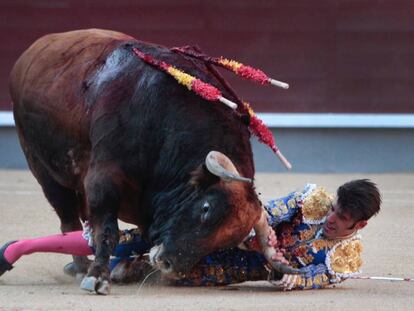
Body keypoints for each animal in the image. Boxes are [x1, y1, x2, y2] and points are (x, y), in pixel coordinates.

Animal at [8, 29, 296, 294]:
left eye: (228, 242)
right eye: (205, 208)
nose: (170, 265)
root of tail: (34, 49)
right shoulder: (103, 177)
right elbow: (107, 230)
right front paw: (98, 278)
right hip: (40, 165)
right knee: (68, 219)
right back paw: (81, 268)